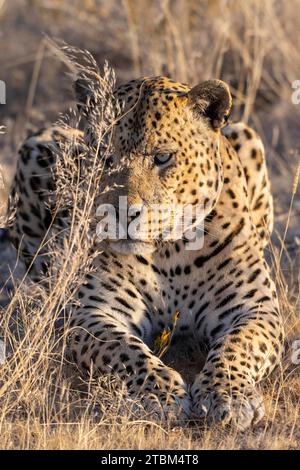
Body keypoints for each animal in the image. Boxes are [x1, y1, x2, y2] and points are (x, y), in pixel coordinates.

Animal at [6, 76, 284, 430]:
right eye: (106, 158)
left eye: (163, 157)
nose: (123, 212)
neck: (170, 252)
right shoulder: (92, 311)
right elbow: (125, 350)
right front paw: (160, 396)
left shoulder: (255, 308)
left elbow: (238, 345)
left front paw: (228, 396)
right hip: (41, 145)